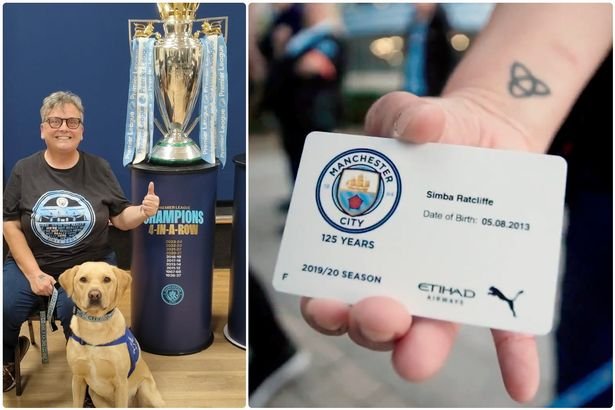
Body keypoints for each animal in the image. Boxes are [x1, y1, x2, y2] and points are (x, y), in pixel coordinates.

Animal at [59, 262, 166, 406]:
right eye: (83, 279)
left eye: (107, 279)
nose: (94, 295)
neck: (95, 326)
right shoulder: (77, 379)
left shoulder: (121, 383)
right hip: (94, 395)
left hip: (147, 391)